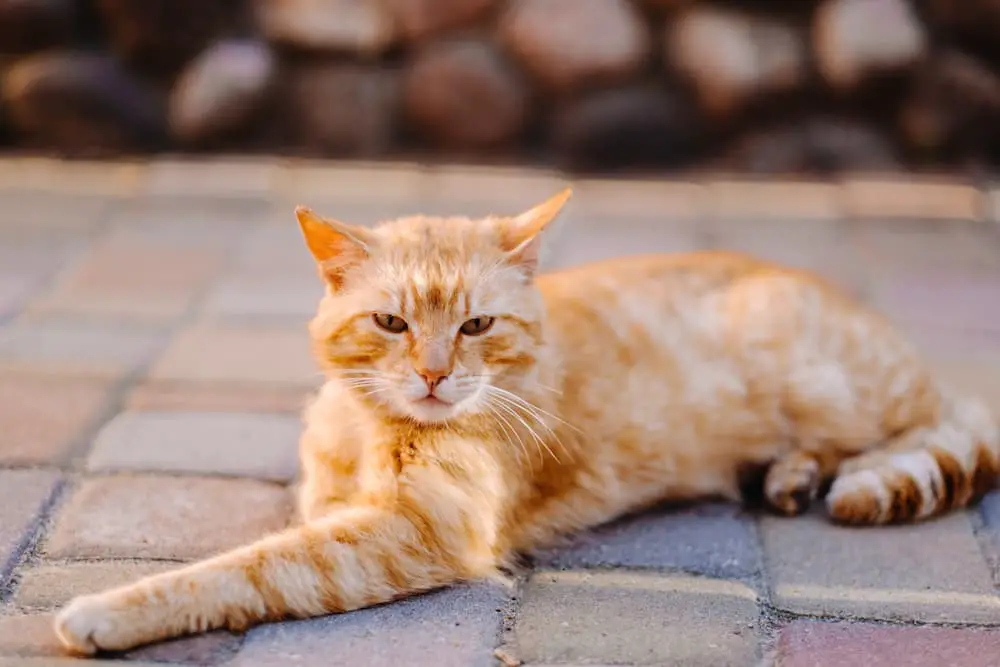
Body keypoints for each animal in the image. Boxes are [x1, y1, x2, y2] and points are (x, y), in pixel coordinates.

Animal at [56, 189, 1000, 656]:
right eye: (392, 323)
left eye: (476, 325)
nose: (436, 374)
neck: (367, 428)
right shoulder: (342, 509)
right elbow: (283, 537)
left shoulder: (415, 530)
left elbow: (241, 569)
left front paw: (106, 610)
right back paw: (790, 473)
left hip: (839, 389)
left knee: (924, 429)